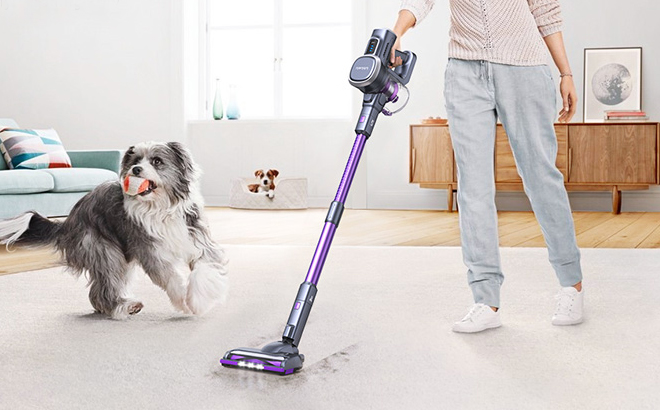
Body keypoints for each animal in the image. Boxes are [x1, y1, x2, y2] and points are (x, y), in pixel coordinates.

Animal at [0, 143, 227, 318]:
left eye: (157, 161)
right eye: (136, 160)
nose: (136, 169)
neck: (160, 209)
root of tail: (69, 220)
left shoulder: (199, 240)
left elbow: (203, 268)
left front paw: (198, 300)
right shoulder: (151, 251)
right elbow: (170, 277)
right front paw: (184, 301)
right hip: (103, 249)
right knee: (103, 287)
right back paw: (122, 307)